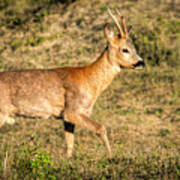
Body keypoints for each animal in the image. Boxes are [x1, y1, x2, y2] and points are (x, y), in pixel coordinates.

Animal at [0, 8, 144, 158]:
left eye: (134, 48)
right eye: (125, 49)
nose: (141, 62)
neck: (89, 80)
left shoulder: (66, 117)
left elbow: (70, 144)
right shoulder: (72, 109)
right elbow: (101, 127)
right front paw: (110, 155)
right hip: (1, 112)